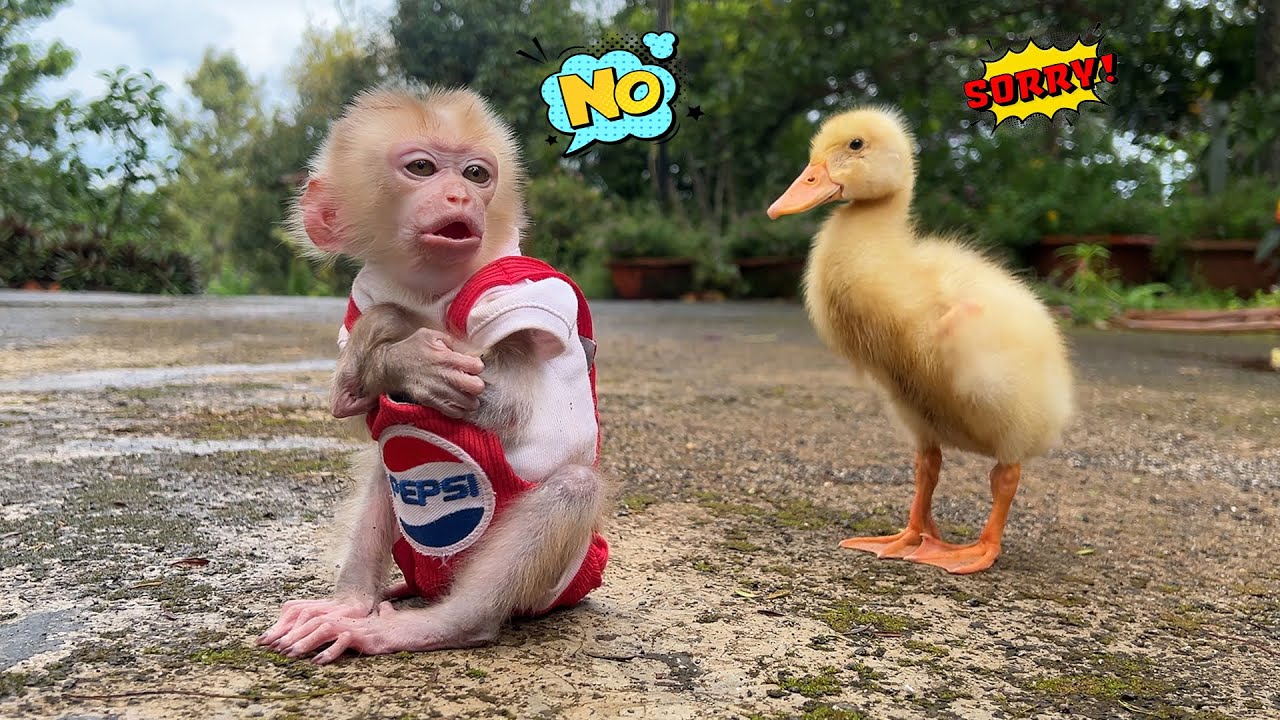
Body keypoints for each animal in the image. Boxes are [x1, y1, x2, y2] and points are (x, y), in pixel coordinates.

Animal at [256, 82, 610, 664]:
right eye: (421, 168)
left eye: (475, 174)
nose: (459, 198)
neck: (433, 293)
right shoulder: (367, 288)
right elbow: (364, 389)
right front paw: (382, 358)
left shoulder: (519, 289)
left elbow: (507, 405)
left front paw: (408, 358)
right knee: (386, 451)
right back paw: (351, 603)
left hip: (564, 580)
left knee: (573, 487)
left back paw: (441, 624)